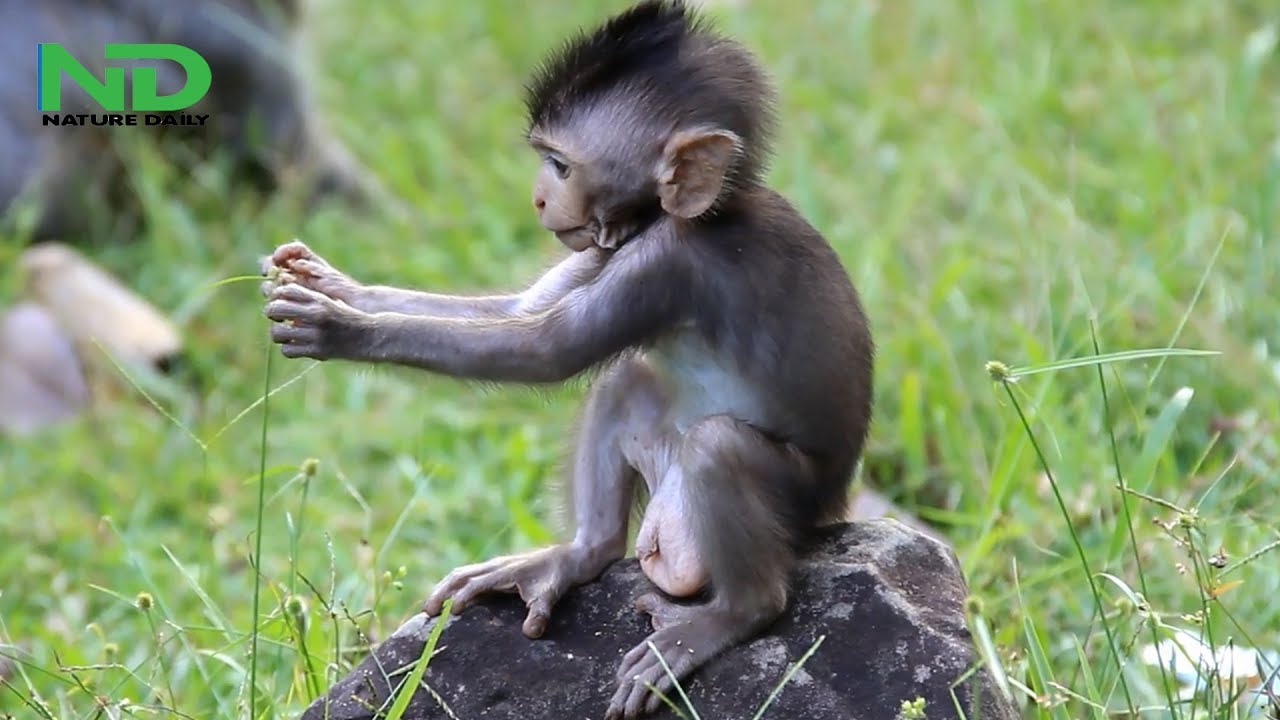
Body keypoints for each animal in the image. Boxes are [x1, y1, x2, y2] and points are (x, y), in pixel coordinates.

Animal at [261, 2, 874, 717]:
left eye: (558, 164)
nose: (536, 198)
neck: (685, 217)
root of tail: (835, 506)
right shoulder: (611, 245)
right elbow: (519, 311)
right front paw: (336, 285)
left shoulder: (664, 264)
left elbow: (545, 350)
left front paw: (340, 327)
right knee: (626, 383)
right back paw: (579, 554)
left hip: (792, 499)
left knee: (717, 447)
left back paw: (730, 615)